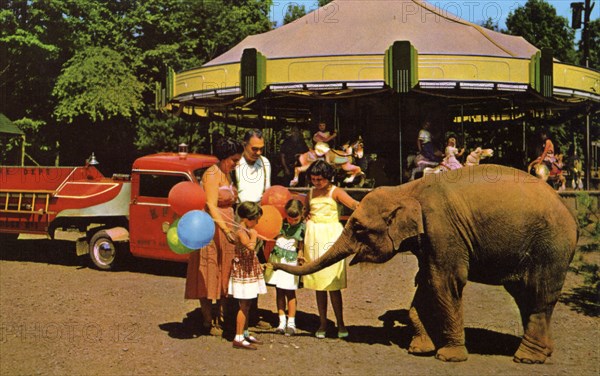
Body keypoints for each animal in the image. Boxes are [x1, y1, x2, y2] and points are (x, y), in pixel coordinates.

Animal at [276, 165, 576, 364]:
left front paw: (449, 357)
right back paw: (542, 352)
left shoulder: (443, 229)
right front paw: (419, 350)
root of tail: (571, 214)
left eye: (359, 228)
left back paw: (527, 358)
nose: (286, 260)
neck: (406, 190)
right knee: (526, 297)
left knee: (537, 294)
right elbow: (425, 282)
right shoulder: (428, 240)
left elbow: (445, 282)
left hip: (550, 248)